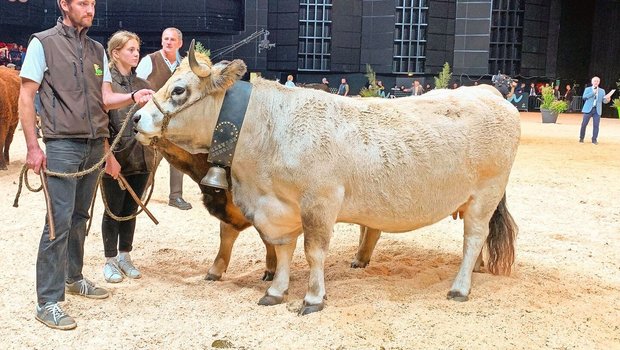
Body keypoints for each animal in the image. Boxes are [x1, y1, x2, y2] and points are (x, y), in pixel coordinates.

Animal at [134, 42, 520, 316]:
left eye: (179, 90)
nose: (136, 117)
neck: (267, 129)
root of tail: (487, 92)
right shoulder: (278, 208)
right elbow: (282, 250)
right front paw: (275, 291)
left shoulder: (320, 202)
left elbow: (313, 252)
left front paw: (313, 298)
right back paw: (476, 272)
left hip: (485, 194)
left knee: (473, 237)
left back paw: (460, 287)